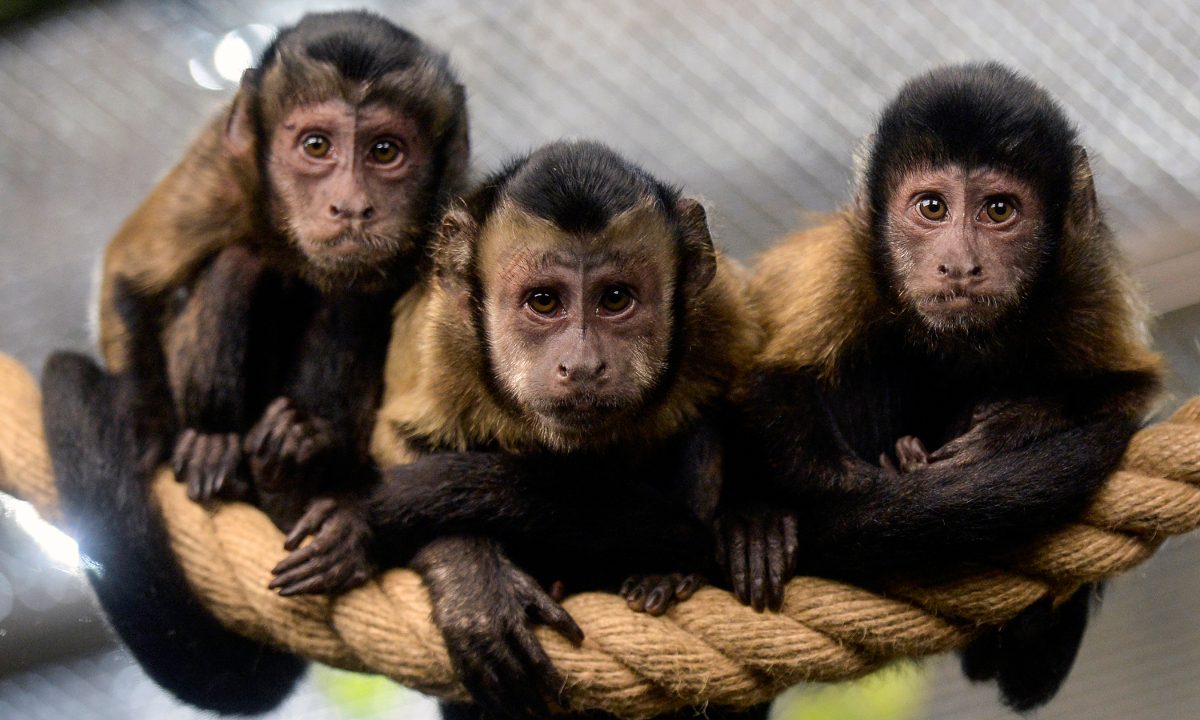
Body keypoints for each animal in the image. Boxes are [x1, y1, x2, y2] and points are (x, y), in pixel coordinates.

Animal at [40, 11, 468, 713]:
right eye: (317, 146)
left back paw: (296, 465)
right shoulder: (220, 169)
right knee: (239, 264)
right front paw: (146, 427)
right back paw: (215, 448)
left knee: (352, 294)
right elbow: (131, 275)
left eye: (385, 152)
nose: (351, 205)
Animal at [267, 140, 764, 720]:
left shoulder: (720, 309)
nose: (582, 365)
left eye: (616, 298)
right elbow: (408, 444)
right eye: (543, 301)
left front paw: (734, 535)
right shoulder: (443, 332)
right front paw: (473, 583)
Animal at [714, 63, 1163, 713]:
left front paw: (1010, 430)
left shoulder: (1087, 278)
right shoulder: (845, 263)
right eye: (931, 207)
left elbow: (1130, 391)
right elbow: (768, 384)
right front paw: (856, 494)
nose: (959, 264)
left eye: (999, 210)